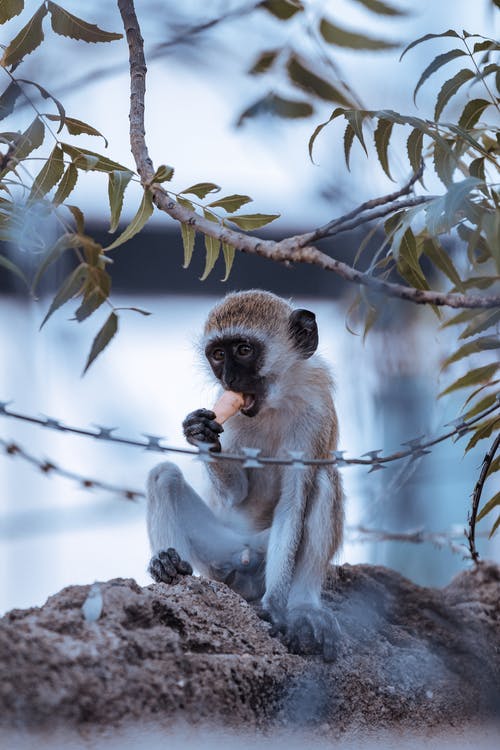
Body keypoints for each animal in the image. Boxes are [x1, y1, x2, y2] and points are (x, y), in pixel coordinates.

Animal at [146, 290, 344, 660]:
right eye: (218, 355)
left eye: (243, 350)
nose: (229, 379)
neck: (274, 404)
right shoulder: (228, 413)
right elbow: (234, 495)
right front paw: (200, 434)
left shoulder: (316, 410)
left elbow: (295, 501)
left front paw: (274, 607)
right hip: (220, 557)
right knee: (164, 475)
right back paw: (170, 568)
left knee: (325, 479)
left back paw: (304, 607)